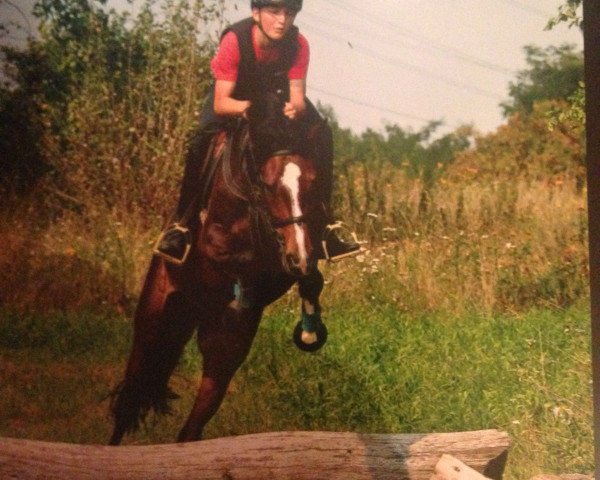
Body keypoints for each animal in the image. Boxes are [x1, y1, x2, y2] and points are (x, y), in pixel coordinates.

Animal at [110, 91, 330, 446]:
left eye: (313, 183)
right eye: (269, 185)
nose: (298, 257)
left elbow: (303, 277)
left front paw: (309, 326)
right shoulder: (215, 243)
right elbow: (237, 259)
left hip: (221, 360)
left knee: (191, 428)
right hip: (153, 323)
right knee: (129, 400)